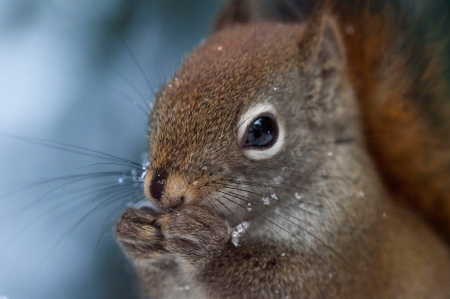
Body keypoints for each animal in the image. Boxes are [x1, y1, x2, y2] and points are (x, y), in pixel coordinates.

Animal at [115, 0, 450, 299]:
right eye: (161, 97)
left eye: (261, 131)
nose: (159, 189)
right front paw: (135, 232)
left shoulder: (344, 258)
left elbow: (280, 285)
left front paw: (205, 243)